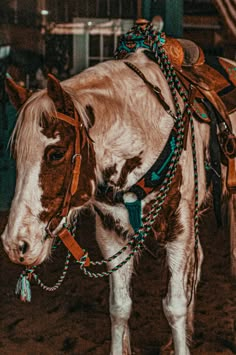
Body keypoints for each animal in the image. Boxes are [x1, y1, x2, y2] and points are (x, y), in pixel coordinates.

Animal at [0, 50, 235, 355]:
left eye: (56, 153)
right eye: (16, 155)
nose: (15, 244)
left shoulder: (178, 229)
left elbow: (174, 306)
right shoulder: (111, 233)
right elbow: (120, 308)